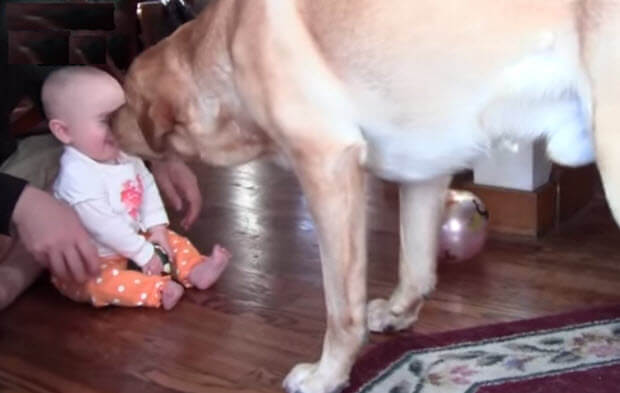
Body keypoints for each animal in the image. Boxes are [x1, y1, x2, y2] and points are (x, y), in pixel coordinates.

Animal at [111, 0, 620, 392]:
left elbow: (341, 309)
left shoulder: (328, 166)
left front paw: (327, 375)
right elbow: (415, 265)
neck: (225, 49)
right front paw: (399, 313)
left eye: (124, 98)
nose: (106, 123)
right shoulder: (424, 168)